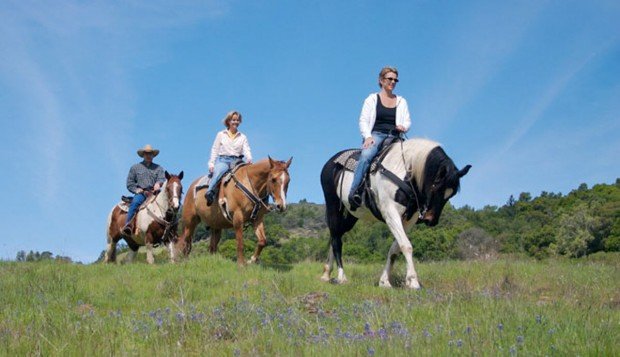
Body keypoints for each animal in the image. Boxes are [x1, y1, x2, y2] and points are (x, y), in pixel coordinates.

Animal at [320, 138, 470, 288]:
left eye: (451, 195)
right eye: (436, 187)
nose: (431, 220)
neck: (404, 171)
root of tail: (330, 162)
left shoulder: (409, 220)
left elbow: (395, 249)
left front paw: (385, 281)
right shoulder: (391, 214)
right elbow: (406, 245)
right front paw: (413, 281)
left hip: (352, 215)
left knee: (336, 234)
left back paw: (327, 273)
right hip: (333, 206)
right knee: (336, 240)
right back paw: (341, 276)